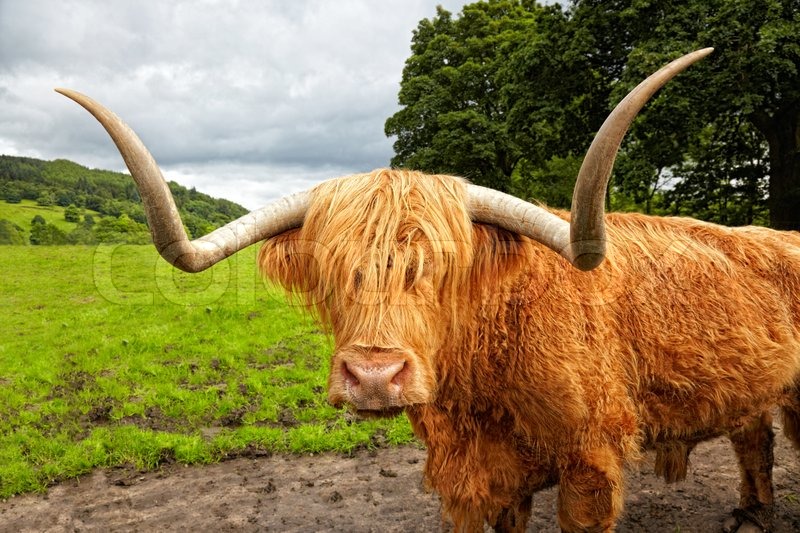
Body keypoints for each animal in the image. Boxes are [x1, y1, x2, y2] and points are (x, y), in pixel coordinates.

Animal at [56, 47, 800, 528]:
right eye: (333, 270)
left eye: (442, 269)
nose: (374, 376)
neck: (481, 388)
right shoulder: (475, 477)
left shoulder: (590, 460)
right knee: (753, 436)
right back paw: (749, 513)